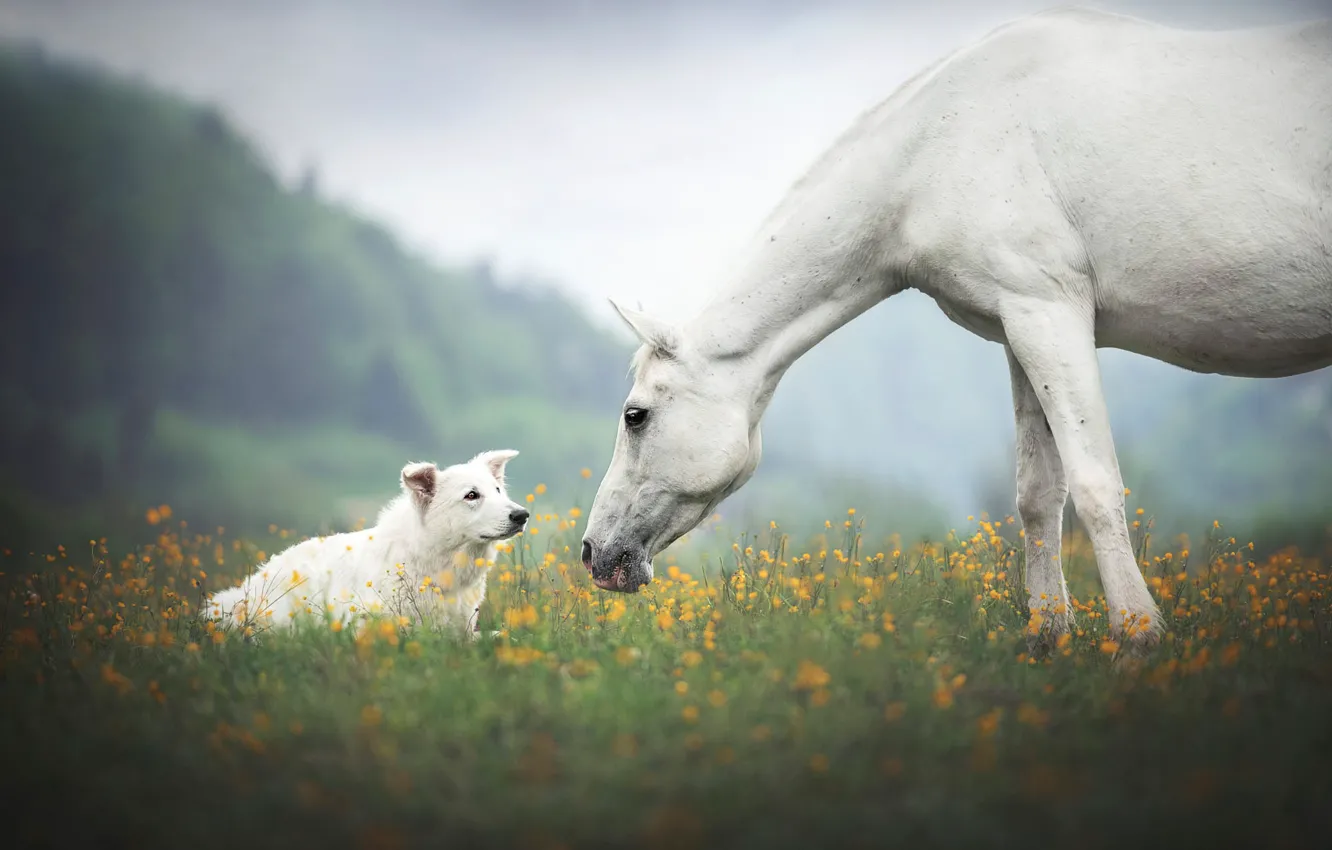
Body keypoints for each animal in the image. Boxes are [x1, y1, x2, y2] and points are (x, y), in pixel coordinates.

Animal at [580, 6, 1332, 655]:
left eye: (636, 415)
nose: (593, 553)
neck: (935, 149)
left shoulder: (1050, 313)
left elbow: (1094, 484)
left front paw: (1138, 640)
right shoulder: (1021, 327)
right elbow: (1038, 495)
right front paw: (1048, 637)